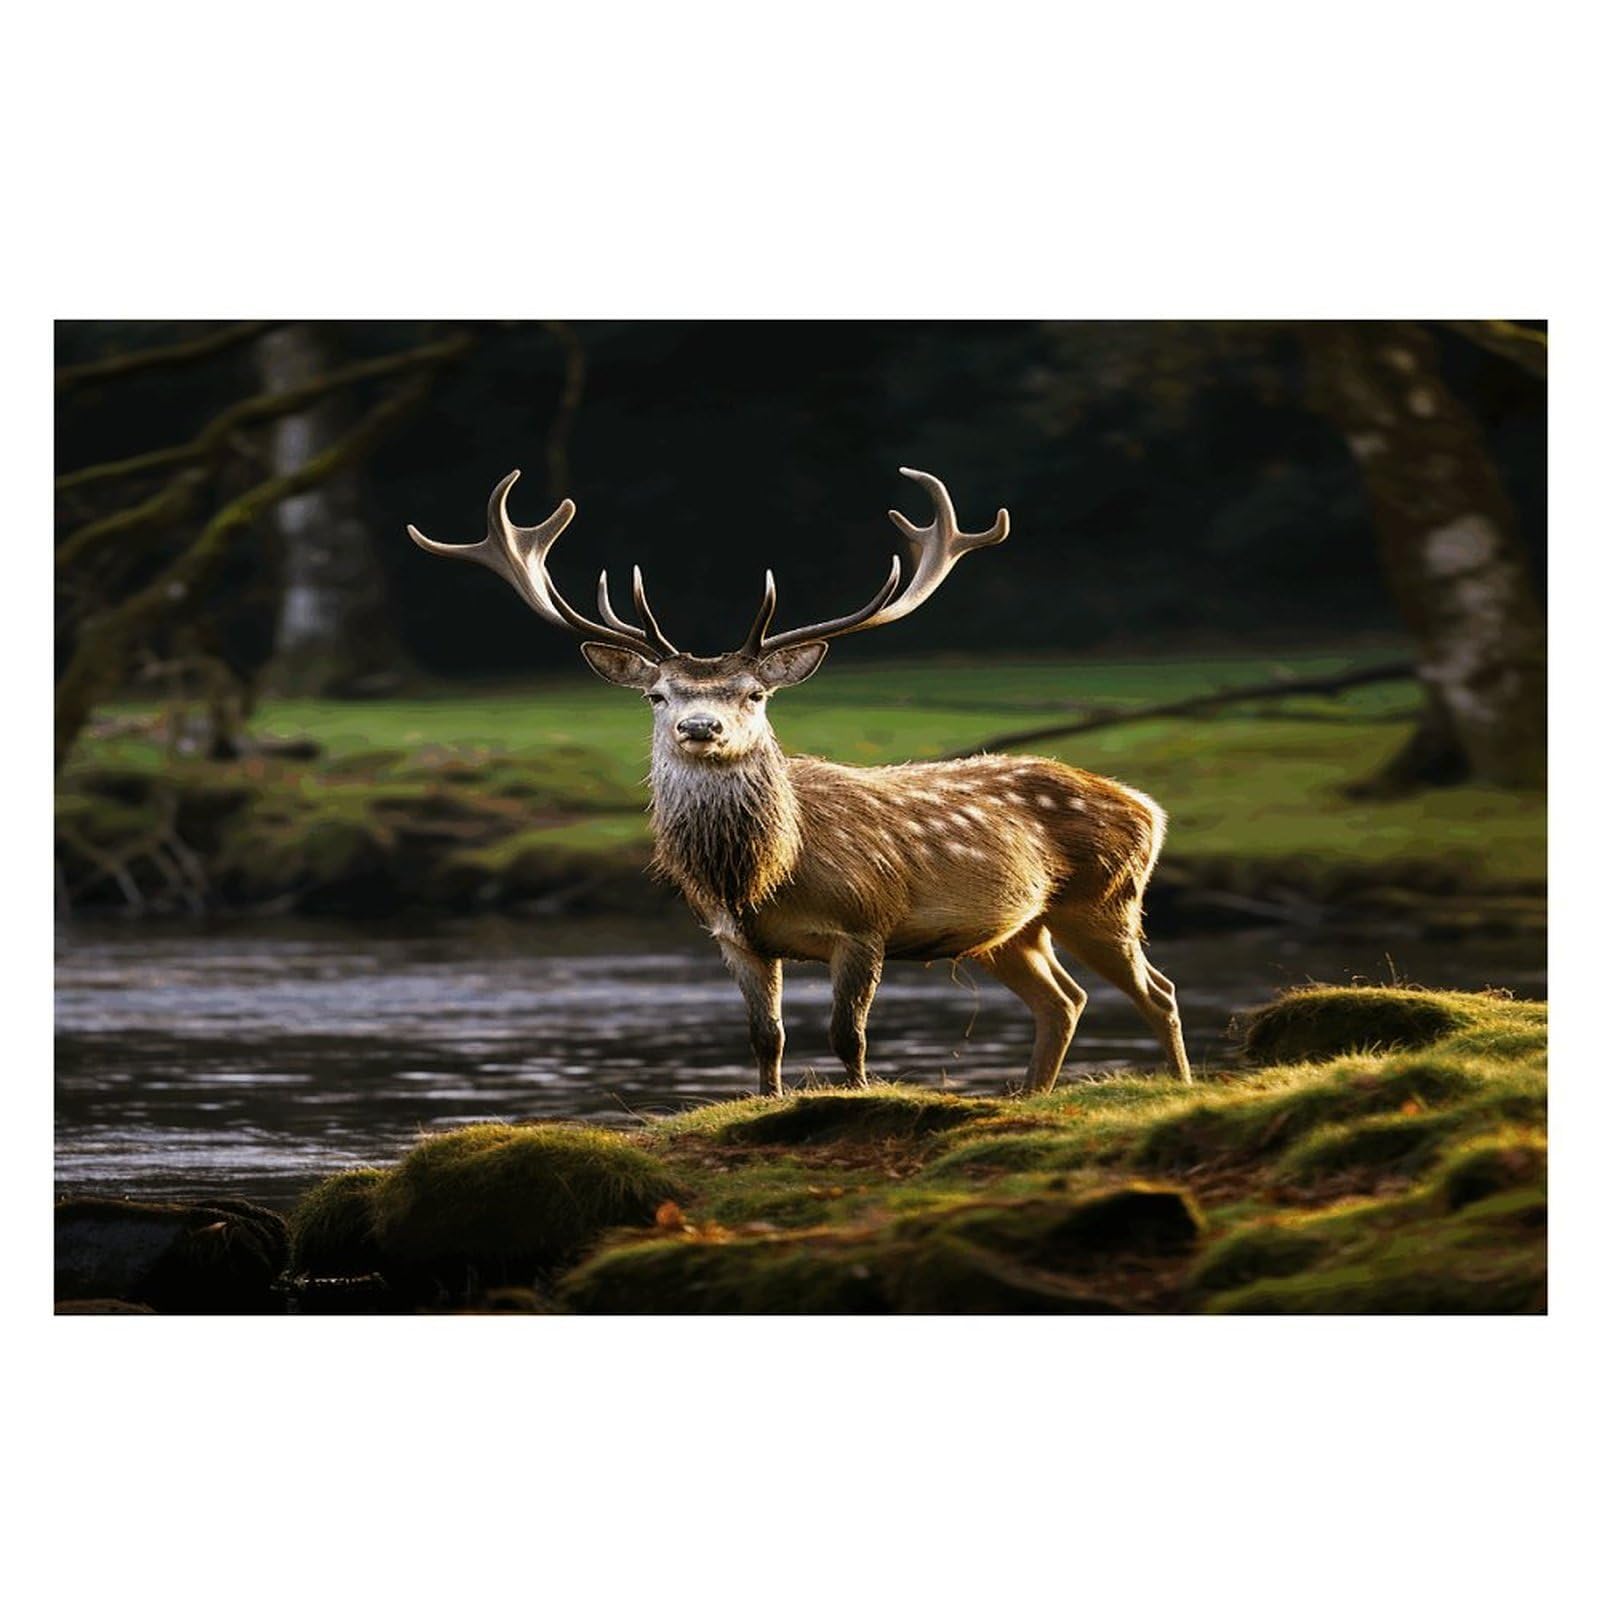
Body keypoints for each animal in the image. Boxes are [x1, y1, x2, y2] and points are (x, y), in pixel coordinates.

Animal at [408, 468, 1191, 1096]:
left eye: (755, 694)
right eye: (657, 695)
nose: (700, 726)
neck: (762, 874)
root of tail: (1150, 806)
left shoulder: (867, 922)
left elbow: (850, 1036)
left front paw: (860, 1097)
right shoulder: (734, 939)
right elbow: (767, 1039)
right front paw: (766, 1101)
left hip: (1105, 897)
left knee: (1158, 990)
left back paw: (1181, 1084)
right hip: (1014, 929)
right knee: (1063, 1000)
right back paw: (1030, 1094)